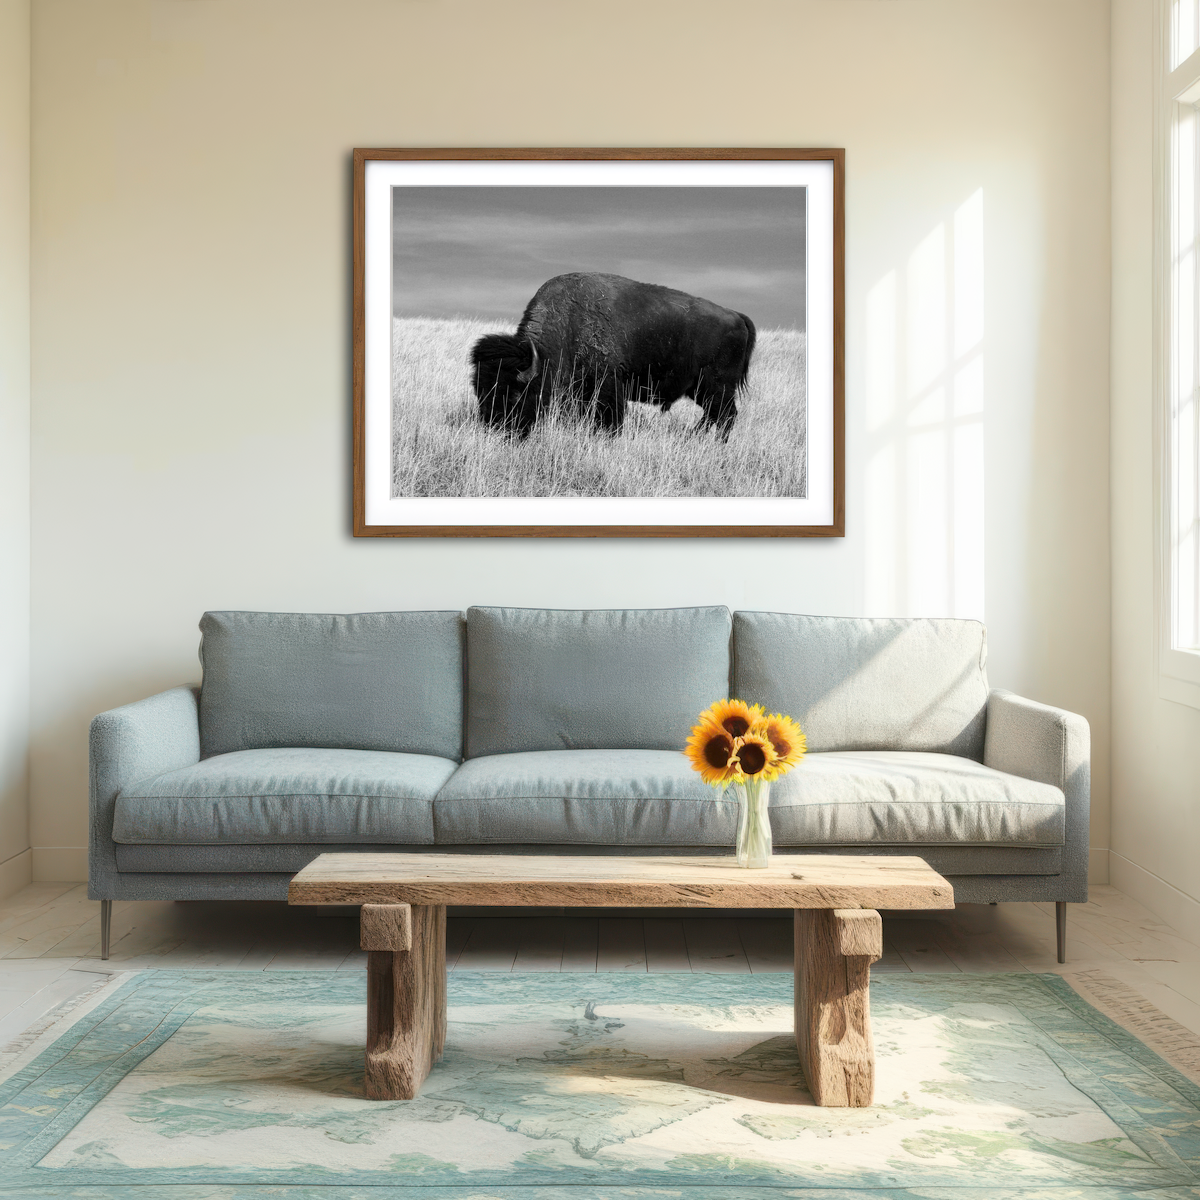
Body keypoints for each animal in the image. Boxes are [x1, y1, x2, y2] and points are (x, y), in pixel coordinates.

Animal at [470, 272, 756, 439]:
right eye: (480, 392)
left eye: (515, 394)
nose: (495, 429)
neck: (568, 323)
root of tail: (736, 316)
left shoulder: (608, 385)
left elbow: (610, 418)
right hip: (700, 389)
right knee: (714, 415)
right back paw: (694, 437)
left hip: (717, 387)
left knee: (725, 416)